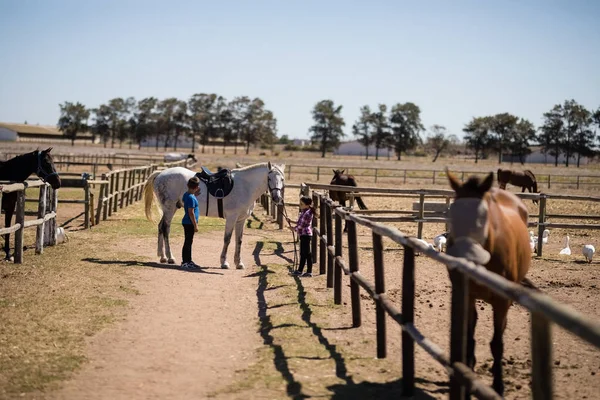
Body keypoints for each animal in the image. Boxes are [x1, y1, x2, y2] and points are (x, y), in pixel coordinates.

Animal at [145, 162, 286, 268]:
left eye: (282, 179)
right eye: (269, 178)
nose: (277, 198)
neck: (245, 186)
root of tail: (160, 174)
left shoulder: (241, 220)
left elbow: (239, 240)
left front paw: (238, 263)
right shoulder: (231, 218)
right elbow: (227, 239)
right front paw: (224, 262)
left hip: (168, 209)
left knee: (160, 227)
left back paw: (162, 257)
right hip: (170, 209)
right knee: (166, 228)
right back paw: (170, 257)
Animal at [446, 170, 528, 396]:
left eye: (483, 216)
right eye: (452, 214)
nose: (463, 254)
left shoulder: (501, 301)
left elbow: (497, 343)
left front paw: (498, 385)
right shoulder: (465, 294)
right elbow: (468, 334)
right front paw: (468, 370)